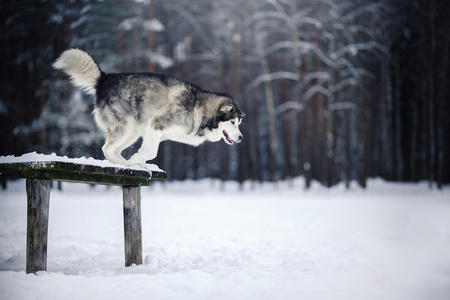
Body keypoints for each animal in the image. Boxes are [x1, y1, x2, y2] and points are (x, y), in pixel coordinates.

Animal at [54, 49, 244, 171]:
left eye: (239, 123)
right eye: (232, 122)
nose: (241, 138)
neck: (200, 109)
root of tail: (104, 79)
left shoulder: (155, 134)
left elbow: (148, 151)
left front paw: (139, 162)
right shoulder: (156, 126)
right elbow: (151, 152)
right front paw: (134, 160)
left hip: (133, 133)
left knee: (115, 150)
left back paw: (129, 164)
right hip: (126, 128)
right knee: (106, 149)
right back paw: (125, 165)